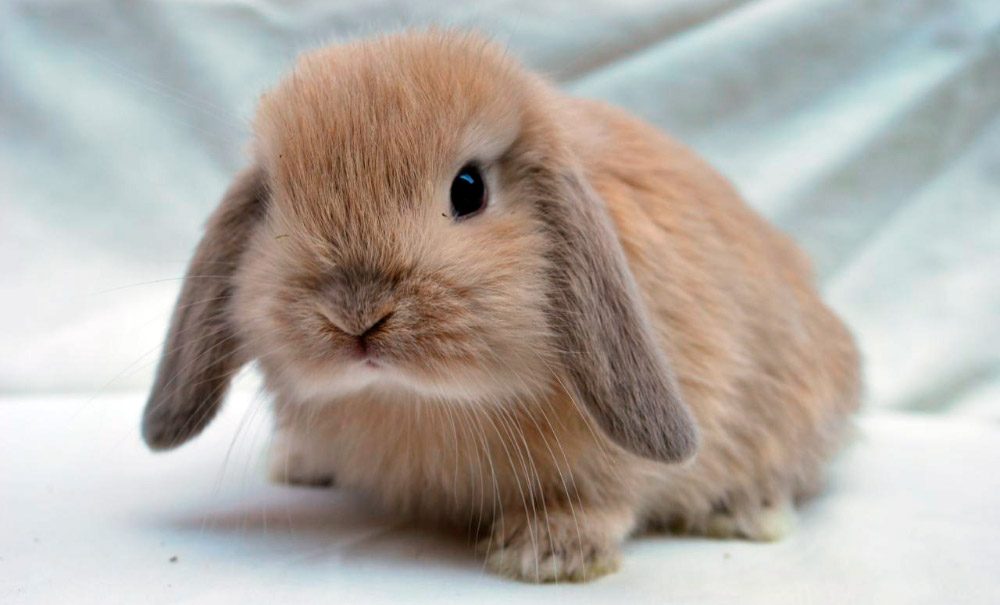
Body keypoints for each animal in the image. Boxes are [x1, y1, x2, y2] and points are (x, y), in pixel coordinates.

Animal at [142, 30, 861, 583]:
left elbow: (614, 490)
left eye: (468, 189)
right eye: (275, 204)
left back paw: (748, 511)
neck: (416, 402)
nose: (356, 316)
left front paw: (546, 551)